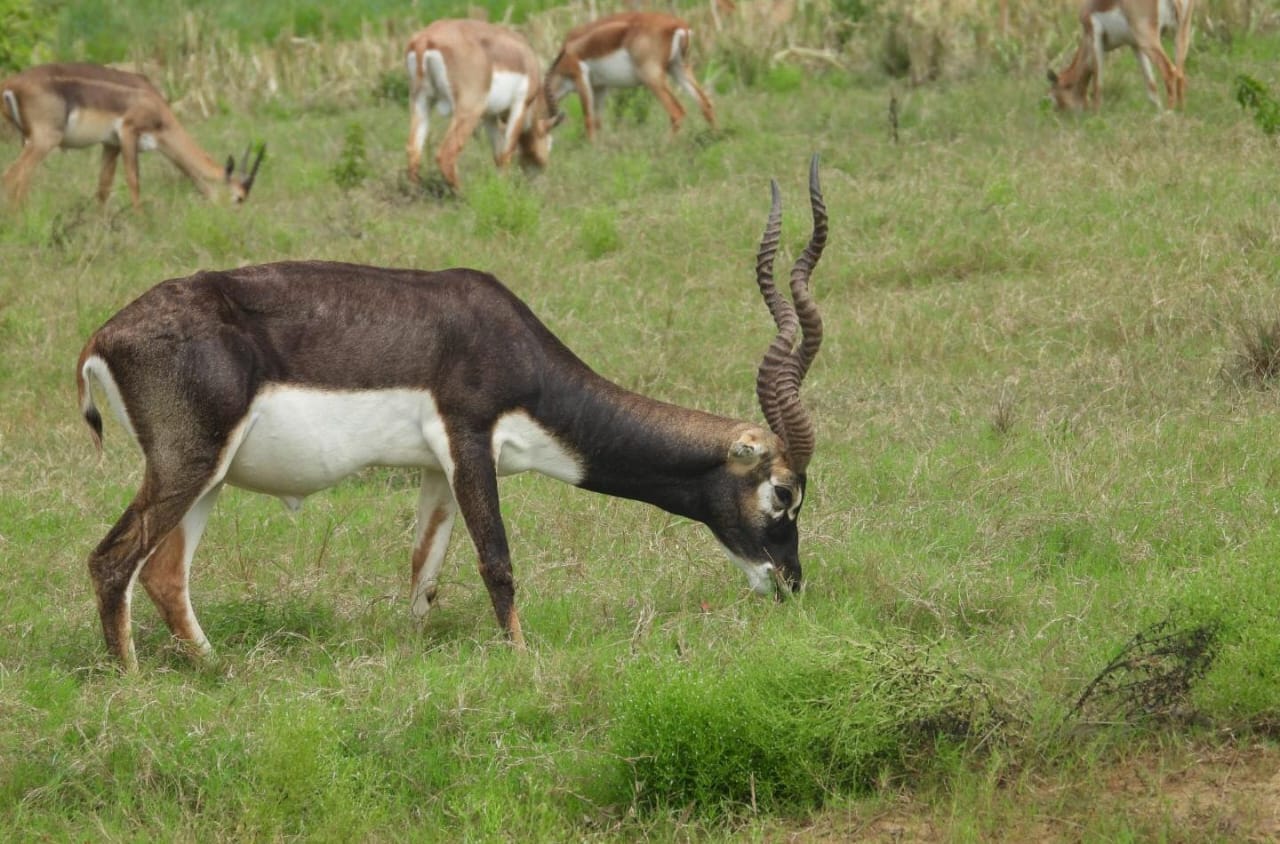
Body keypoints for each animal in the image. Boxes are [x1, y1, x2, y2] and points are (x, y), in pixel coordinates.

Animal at [0, 61, 262, 210]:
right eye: (239, 197)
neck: (157, 108)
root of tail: (10, 83)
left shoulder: (110, 144)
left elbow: (103, 188)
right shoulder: (128, 132)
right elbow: (134, 181)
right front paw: (140, 220)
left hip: (29, 141)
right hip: (44, 140)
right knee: (13, 176)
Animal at [74, 156, 829, 671]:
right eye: (783, 494)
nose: (790, 584)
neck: (508, 343)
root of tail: (103, 336)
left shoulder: (435, 469)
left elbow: (424, 572)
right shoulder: (470, 441)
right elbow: (497, 559)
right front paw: (523, 660)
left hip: (208, 476)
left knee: (166, 576)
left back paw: (216, 669)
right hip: (190, 464)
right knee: (111, 561)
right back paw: (132, 680)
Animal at [401, 18, 558, 192]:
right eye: (549, 142)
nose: (539, 171)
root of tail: (425, 39)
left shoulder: (489, 116)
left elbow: (498, 155)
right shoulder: (520, 105)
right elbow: (507, 152)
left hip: (421, 102)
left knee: (413, 150)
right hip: (469, 110)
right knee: (446, 154)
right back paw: (463, 193)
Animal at [542, 11, 716, 140]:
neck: (569, 50)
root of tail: (679, 26)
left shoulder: (580, 78)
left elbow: (588, 120)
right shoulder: (600, 87)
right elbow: (598, 121)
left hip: (652, 77)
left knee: (677, 112)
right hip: (678, 68)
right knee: (705, 104)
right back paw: (715, 137)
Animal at [1044, 0, 1192, 112]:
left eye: (1053, 96)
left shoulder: (1095, 36)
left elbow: (1097, 85)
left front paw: (1096, 115)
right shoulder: (1135, 45)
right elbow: (1151, 85)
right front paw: (1158, 111)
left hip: (1148, 38)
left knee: (1170, 72)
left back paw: (1169, 112)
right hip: (1180, 34)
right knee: (1180, 73)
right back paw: (1181, 111)